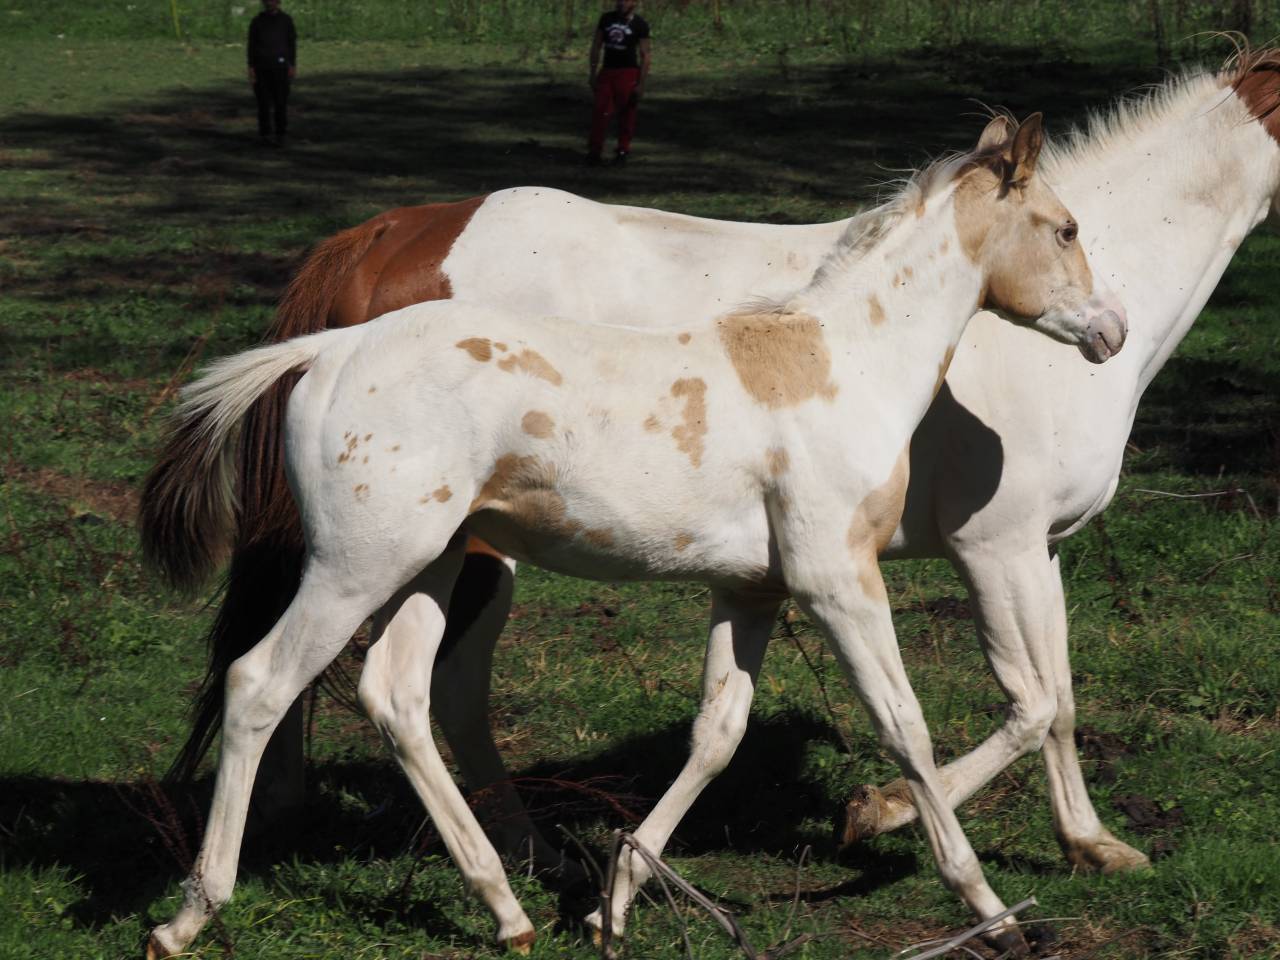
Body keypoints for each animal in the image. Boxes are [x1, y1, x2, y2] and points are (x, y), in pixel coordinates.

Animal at [141, 47, 1280, 887]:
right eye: (1067, 229)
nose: (1106, 329)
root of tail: (371, 243)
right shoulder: (989, 548)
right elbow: (1025, 701)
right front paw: (880, 815)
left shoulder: (1033, 552)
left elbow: (1060, 697)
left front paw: (1090, 843)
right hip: (452, 553)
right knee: (402, 680)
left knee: (389, 681)